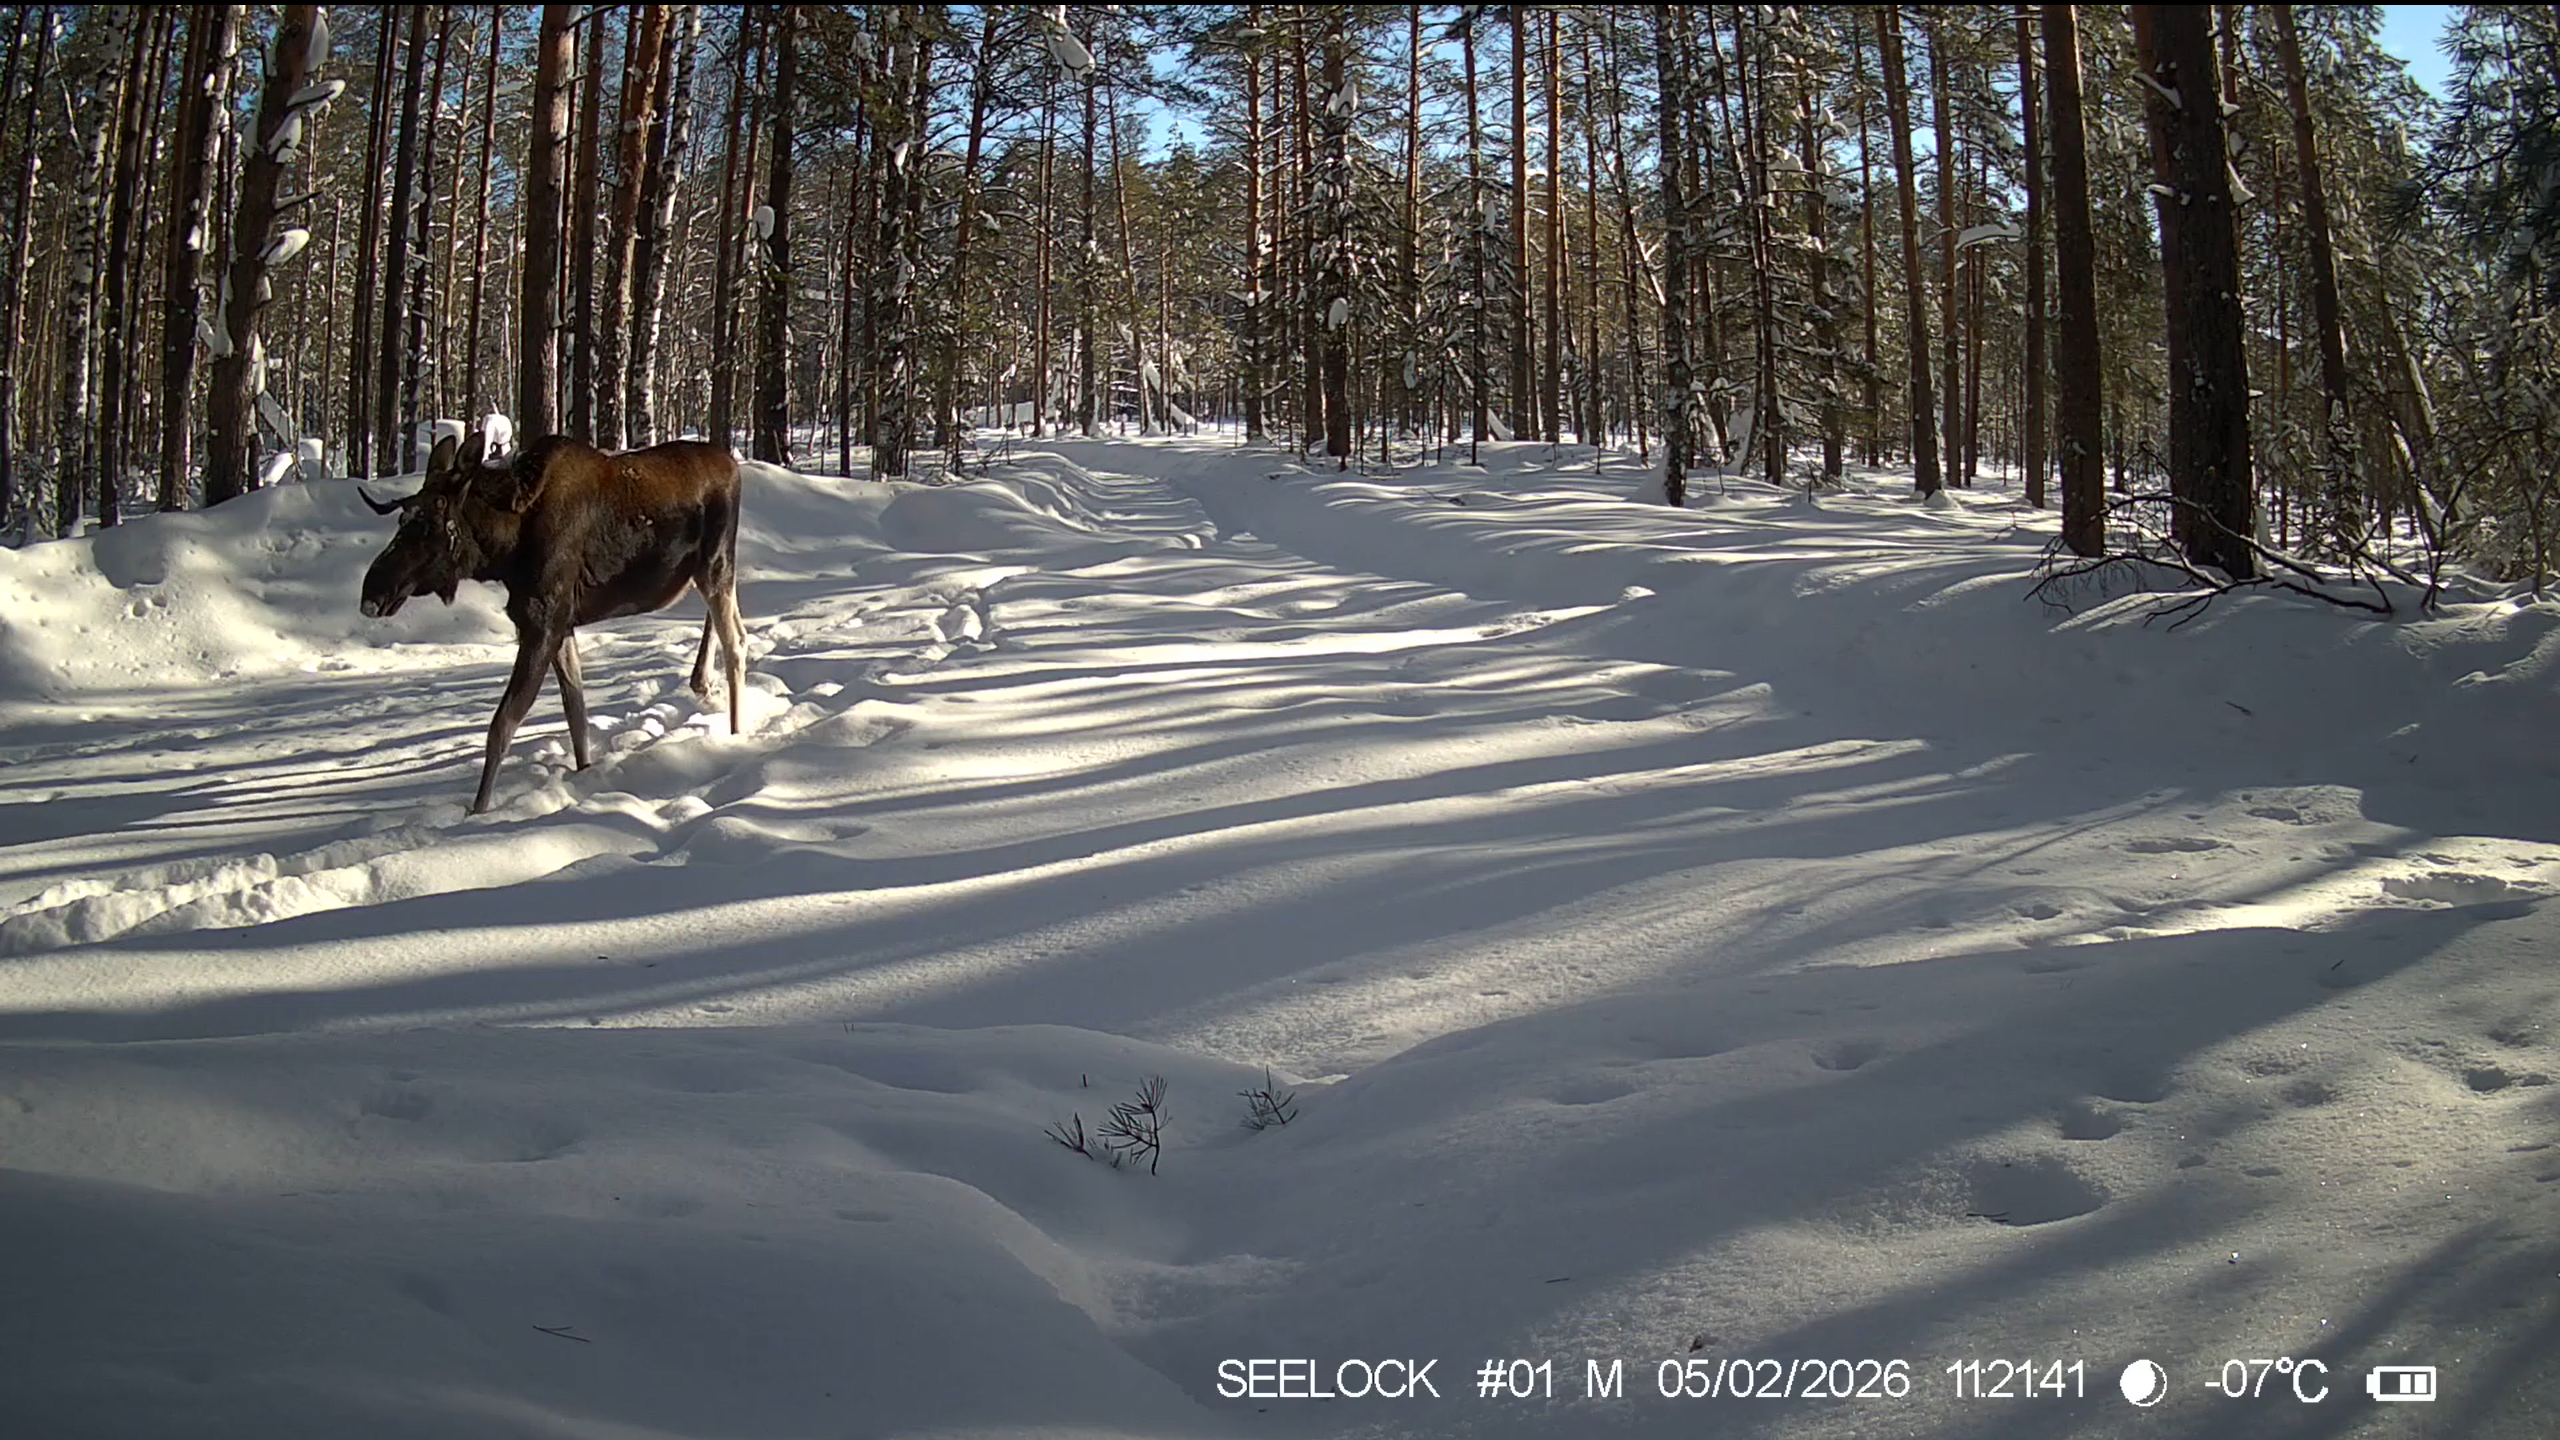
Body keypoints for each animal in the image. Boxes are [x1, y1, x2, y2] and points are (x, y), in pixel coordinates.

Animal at [359, 429, 747, 814]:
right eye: (402, 521)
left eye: (430, 526)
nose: (372, 593)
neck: (504, 551)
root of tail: (733, 466)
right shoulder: (562, 624)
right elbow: (576, 712)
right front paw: (584, 771)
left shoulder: (543, 621)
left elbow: (502, 725)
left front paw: (478, 811)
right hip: (706, 573)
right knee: (732, 628)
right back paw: (703, 683)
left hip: (715, 564)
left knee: (736, 643)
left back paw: (735, 733)